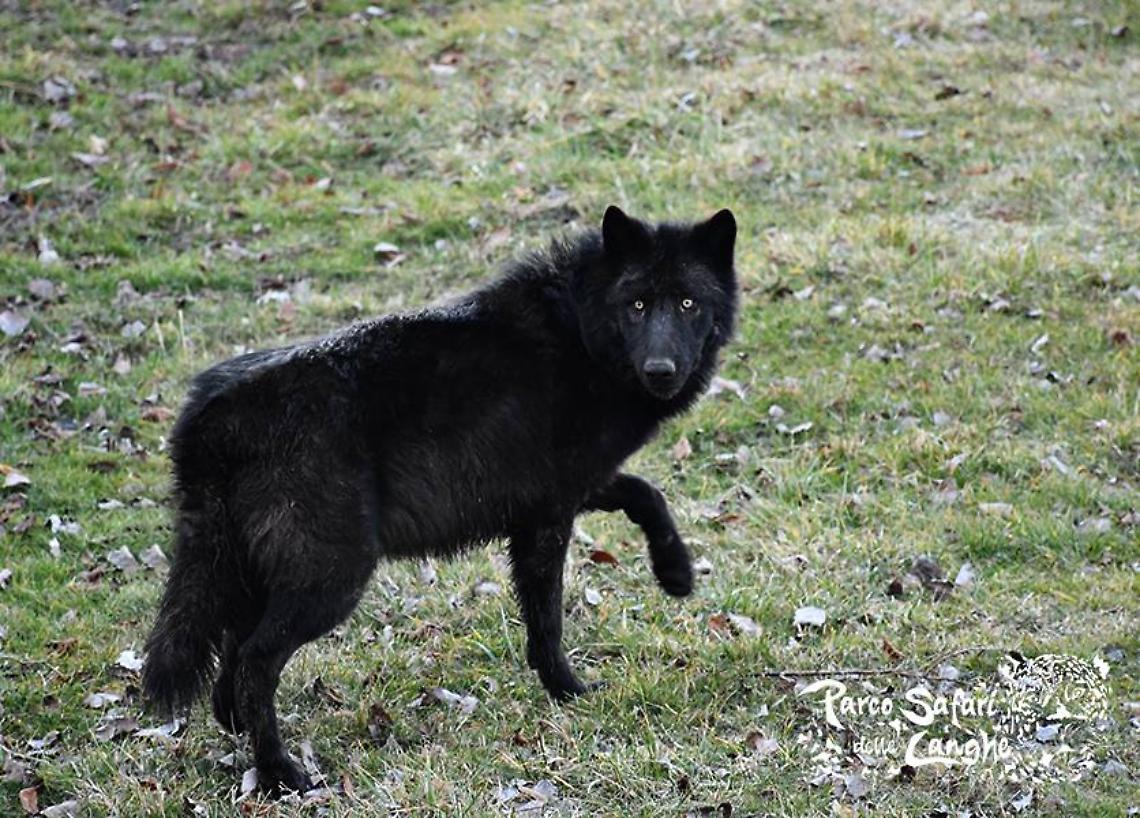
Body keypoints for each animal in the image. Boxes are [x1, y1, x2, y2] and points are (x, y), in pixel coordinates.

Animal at [142, 205, 738, 792]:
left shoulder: (563, 492)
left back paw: (239, 732)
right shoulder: (549, 514)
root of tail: (208, 414)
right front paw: (567, 691)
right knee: (254, 663)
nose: (660, 369)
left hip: (255, 576)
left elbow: (646, 494)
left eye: (687, 303)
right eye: (637, 305)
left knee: (233, 655)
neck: (580, 335)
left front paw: (676, 573)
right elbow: (548, 619)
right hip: (330, 581)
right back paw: (280, 775)